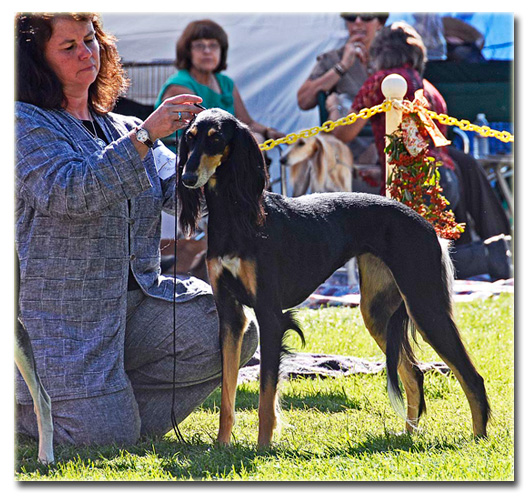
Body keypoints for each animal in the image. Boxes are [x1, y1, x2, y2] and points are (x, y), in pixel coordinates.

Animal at [176, 107, 490, 448]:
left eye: (215, 139)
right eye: (190, 138)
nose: (187, 178)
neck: (237, 213)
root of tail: (427, 225)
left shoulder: (270, 314)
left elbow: (266, 394)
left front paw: (261, 449)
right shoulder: (231, 315)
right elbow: (227, 393)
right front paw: (222, 447)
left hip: (425, 304)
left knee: (471, 375)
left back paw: (478, 438)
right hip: (378, 312)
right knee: (415, 373)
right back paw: (407, 436)